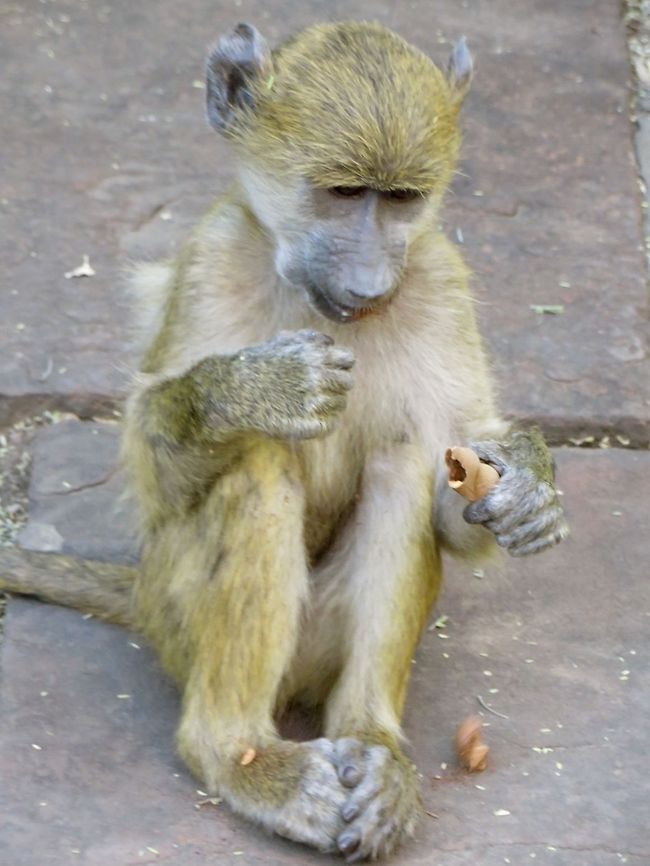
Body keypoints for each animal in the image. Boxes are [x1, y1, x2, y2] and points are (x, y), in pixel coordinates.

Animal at [0, 21, 568, 862]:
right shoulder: (209, 257)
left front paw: (527, 491)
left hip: (317, 639)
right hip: (176, 615)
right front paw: (255, 389)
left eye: (400, 200)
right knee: (257, 465)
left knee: (399, 465)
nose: (369, 283)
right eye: (342, 192)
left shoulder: (440, 276)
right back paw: (240, 756)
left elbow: (453, 475)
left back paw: (373, 745)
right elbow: (159, 471)